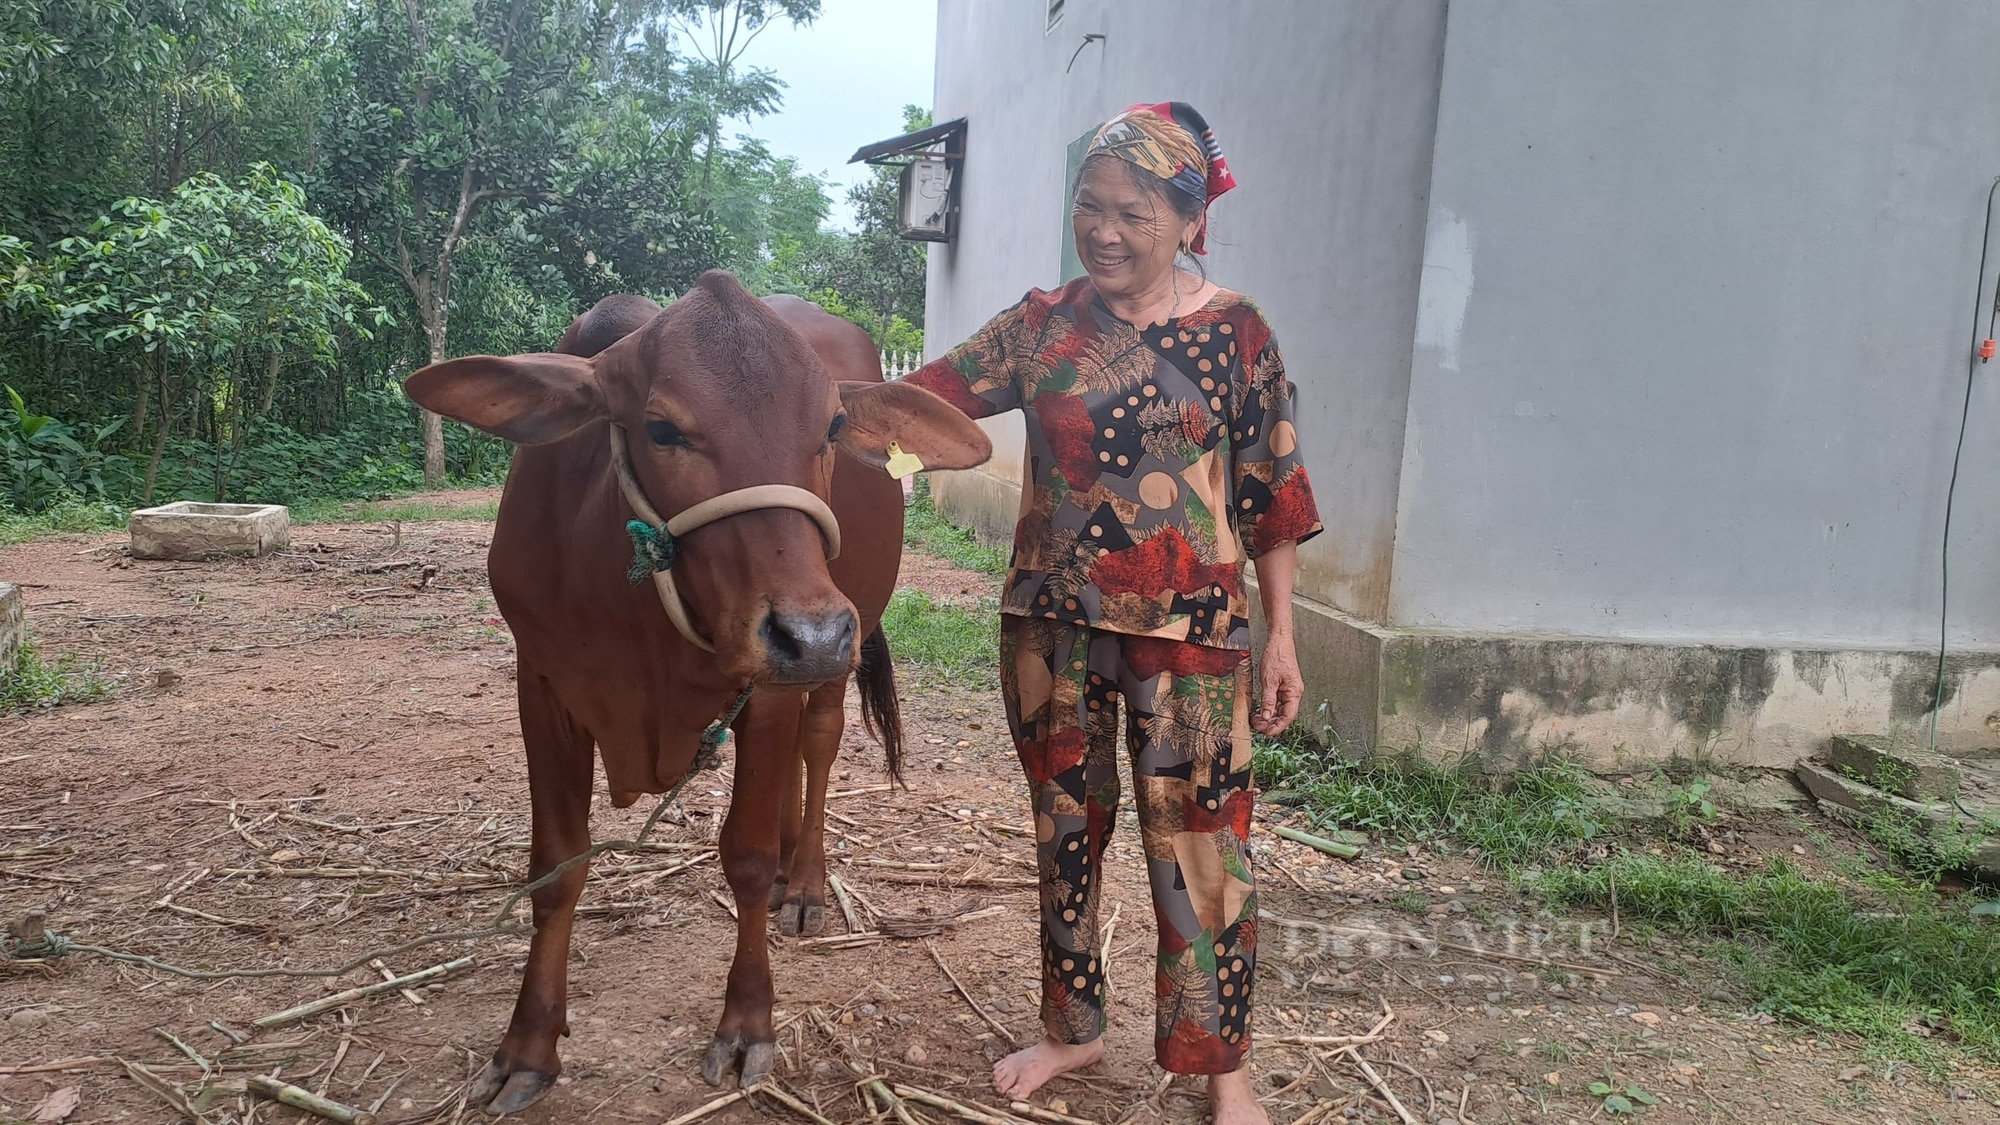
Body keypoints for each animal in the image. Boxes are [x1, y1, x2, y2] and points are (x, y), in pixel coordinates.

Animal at [406, 274, 992, 1112]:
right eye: (661, 428)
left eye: (831, 427)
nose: (810, 632)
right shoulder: (541, 683)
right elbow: (556, 866)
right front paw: (528, 1044)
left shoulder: (770, 685)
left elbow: (743, 855)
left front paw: (747, 1022)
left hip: (834, 656)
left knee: (818, 746)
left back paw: (802, 883)